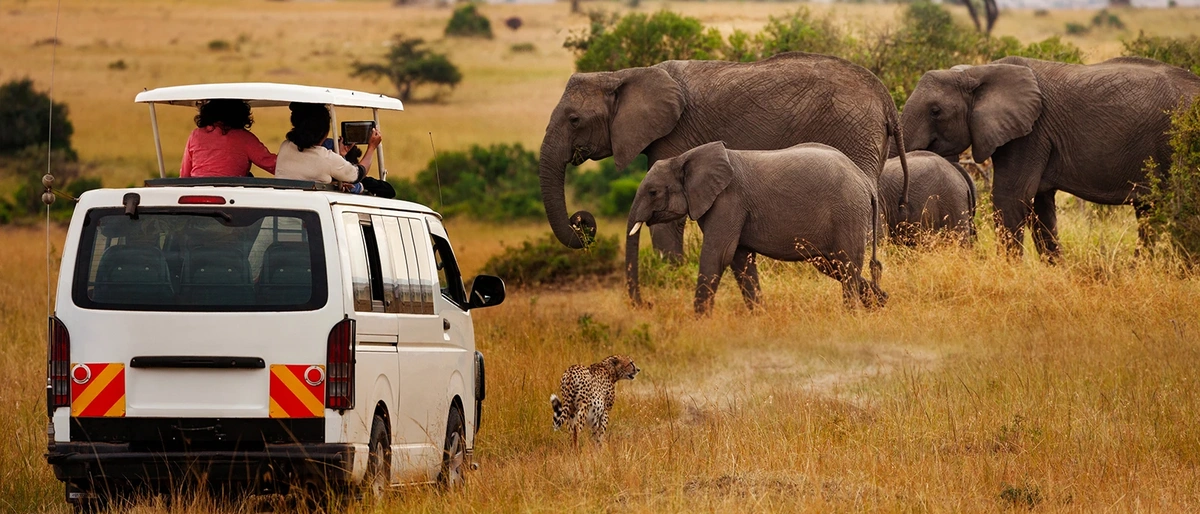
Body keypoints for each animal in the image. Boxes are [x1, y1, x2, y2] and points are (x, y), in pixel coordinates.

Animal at [624, 142, 888, 314]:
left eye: (653, 192)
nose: (647, 304)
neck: (684, 157)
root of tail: (866, 182)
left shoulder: (728, 201)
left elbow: (718, 255)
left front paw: (698, 321)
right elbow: (740, 260)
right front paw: (758, 316)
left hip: (848, 212)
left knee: (846, 263)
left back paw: (852, 314)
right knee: (834, 265)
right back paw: (880, 303)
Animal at [902, 56, 1200, 259]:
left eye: (936, 111)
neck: (979, 71)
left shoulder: (1031, 134)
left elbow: (1010, 197)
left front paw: (1009, 271)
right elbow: (1040, 205)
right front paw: (1059, 271)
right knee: (1148, 211)